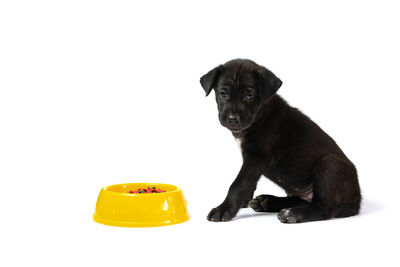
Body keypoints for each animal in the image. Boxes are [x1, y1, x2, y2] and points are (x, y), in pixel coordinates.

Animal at [202, 58, 360, 224]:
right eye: (223, 93)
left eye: (250, 95)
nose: (233, 119)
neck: (260, 114)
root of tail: (357, 200)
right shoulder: (249, 159)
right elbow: (249, 182)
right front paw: (243, 201)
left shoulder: (256, 158)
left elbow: (238, 184)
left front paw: (223, 209)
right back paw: (268, 202)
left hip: (330, 164)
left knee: (323, 208)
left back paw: (292, 213)